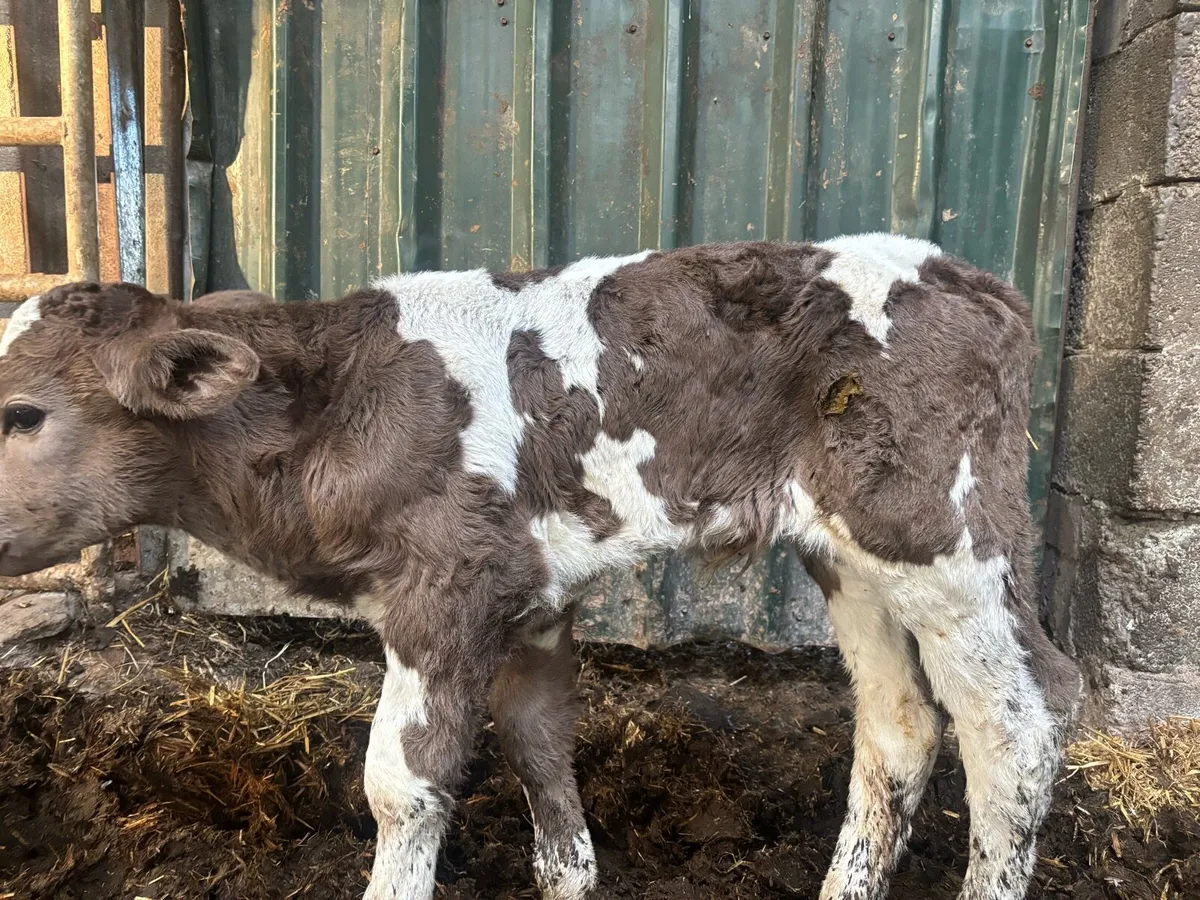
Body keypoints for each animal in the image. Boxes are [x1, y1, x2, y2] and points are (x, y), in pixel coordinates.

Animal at [0, 235, 1081, 900]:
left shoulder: (447, 587)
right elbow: (539, 745)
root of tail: (981, 285)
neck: (338, 405)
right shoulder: (532, 598)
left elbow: (402, 781)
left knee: (1020, 718)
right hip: (850, 555)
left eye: (21, 414)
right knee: (900, 724)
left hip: (945, 535)